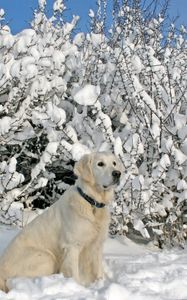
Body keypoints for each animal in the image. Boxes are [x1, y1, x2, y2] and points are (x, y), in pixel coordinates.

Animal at [0, 151, 122, 292]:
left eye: (114, 163)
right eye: (100, 164)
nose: (117, 173)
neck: (92, 203)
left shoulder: (97, 245)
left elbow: (98, 271)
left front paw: (100, 283)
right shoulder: (72, 246)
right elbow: (74, 273)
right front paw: (79, 288)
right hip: (45, 257)